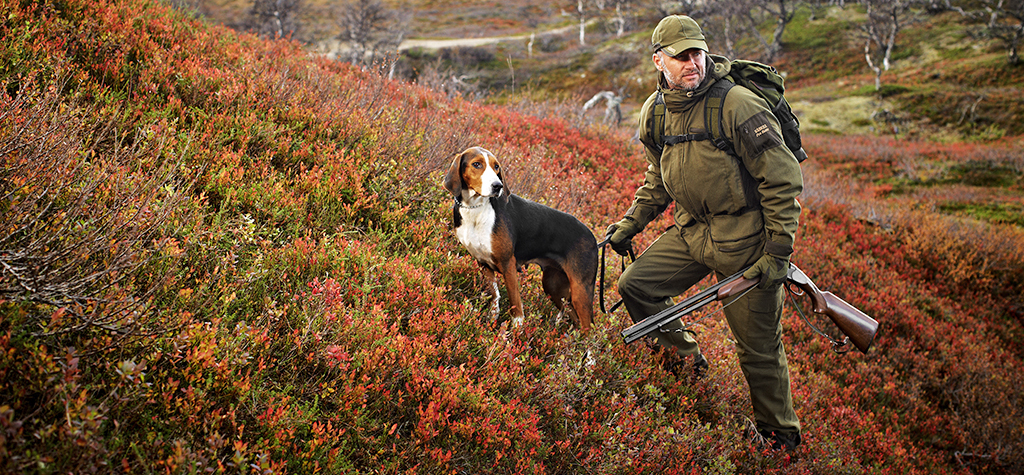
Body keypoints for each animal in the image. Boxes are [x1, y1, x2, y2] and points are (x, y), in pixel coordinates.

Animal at [443, 146, 598, 330]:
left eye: (496, 167)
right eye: (477, 164)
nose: (498, 186)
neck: (476, 210)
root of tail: (593, 238)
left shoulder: (508, 264)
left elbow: (516, 306)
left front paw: (513, 333)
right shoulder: (483, 263)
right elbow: (494, 295)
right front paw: (492, 321)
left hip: (580, 291)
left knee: (589, 328)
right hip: (554, 286)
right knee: (574, 318)